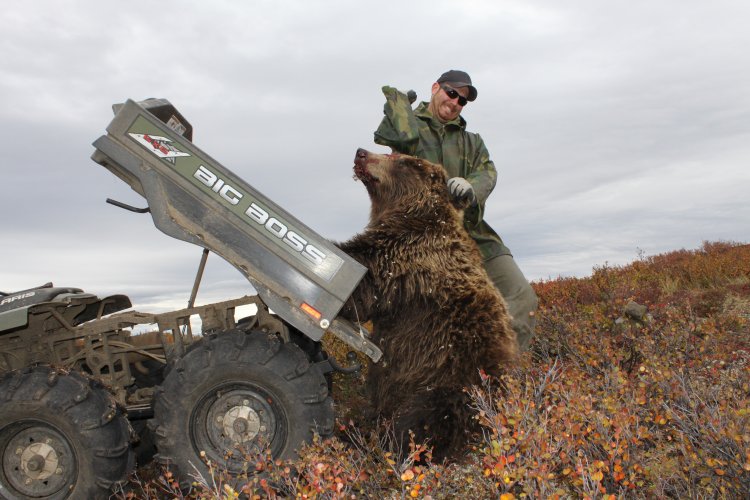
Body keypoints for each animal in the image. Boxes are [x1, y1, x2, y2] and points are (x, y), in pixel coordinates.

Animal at [340, 148, 520, 460]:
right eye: (388, 151)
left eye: (400, 159)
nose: (361, 153)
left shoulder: (405, 253)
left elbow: (361, 278)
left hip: (447, 380)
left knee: (422, 422)